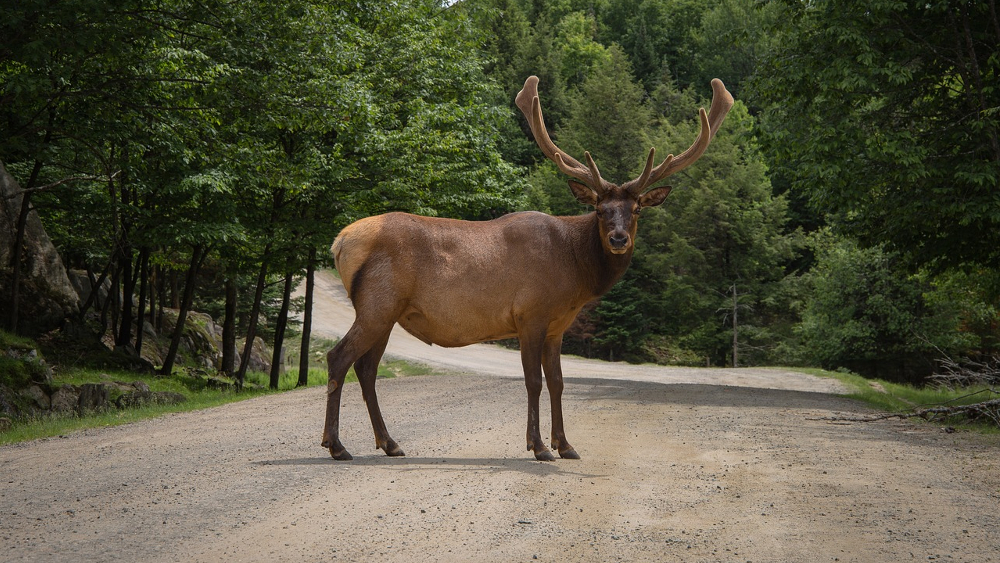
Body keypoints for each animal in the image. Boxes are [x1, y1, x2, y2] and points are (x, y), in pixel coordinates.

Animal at [322, 76, 736, 462]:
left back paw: (390, 443)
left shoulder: (557, 326)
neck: (575, 274)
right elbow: (533, 381)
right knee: (339, 357)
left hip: (387, 312)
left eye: (635, 210)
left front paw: (566, 444)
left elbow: (558, 381)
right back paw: (337, 445)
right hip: (378, 303)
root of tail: (340, 242)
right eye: (600, 209)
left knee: (367, 368)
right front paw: (538, 446)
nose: (618, 238)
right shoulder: (529, 314)